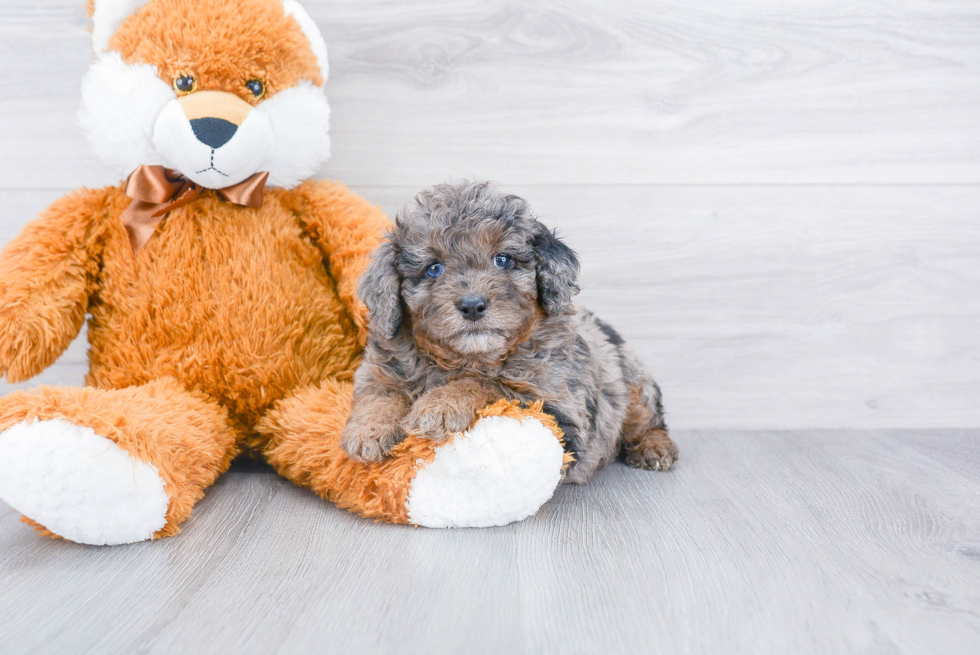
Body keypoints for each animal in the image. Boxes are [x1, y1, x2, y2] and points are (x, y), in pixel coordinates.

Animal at [340, 182, 676, 484]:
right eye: (433, 268)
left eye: (502, 259)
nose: (472, 306)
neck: (467, 358)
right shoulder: (377, 370)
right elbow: (380, 393)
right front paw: (368, 431)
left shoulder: (560, 414)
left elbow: (490, 384)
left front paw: (439, 406)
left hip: (635, 384)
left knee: (650, 421)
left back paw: (654, 449)